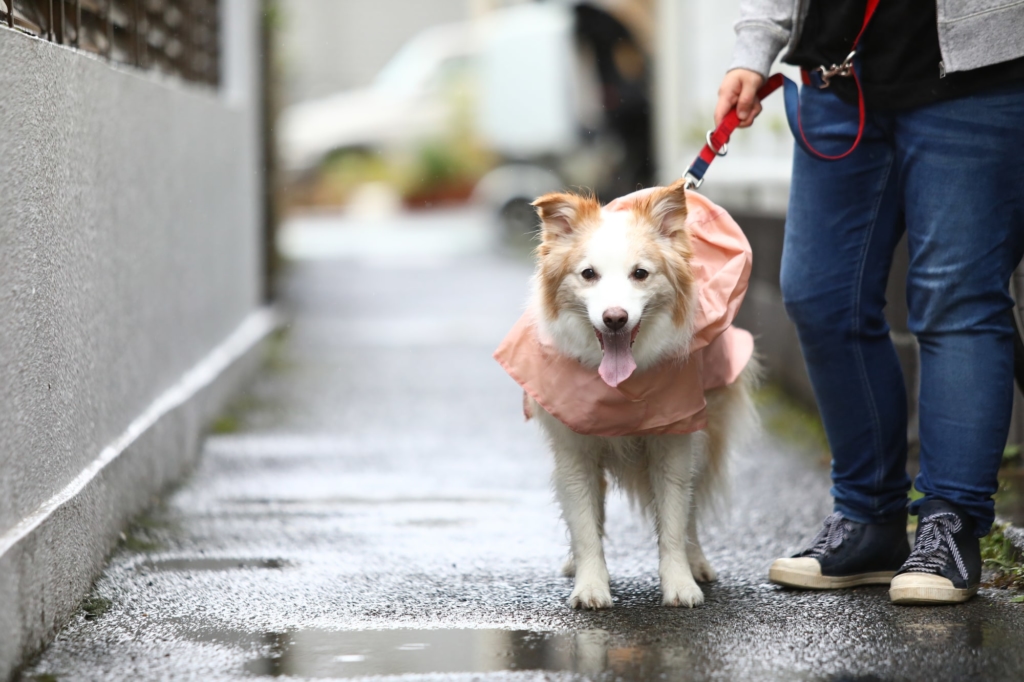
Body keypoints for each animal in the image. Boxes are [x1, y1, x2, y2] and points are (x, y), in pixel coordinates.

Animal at [495, 178, 761, 606]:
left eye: (640, 274)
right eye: (588, 274)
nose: (615, 318)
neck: (619, 387)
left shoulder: (675, 443)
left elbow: (674, 521)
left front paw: (680, 583)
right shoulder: (573, 449)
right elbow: (585, 523)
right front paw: (590, 585)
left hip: (706, 438)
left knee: (692, 509)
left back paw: (697, 562)